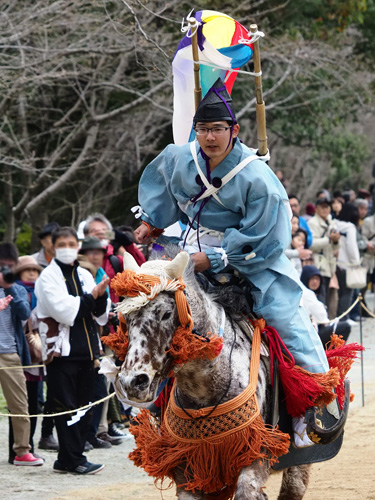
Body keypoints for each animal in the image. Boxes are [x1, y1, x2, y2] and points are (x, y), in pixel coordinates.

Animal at [106, 254, 324, 500]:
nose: (133, 382)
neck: (203, 386)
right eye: (126, 317)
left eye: (166, 313)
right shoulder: (187, 471)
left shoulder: (255, 453)